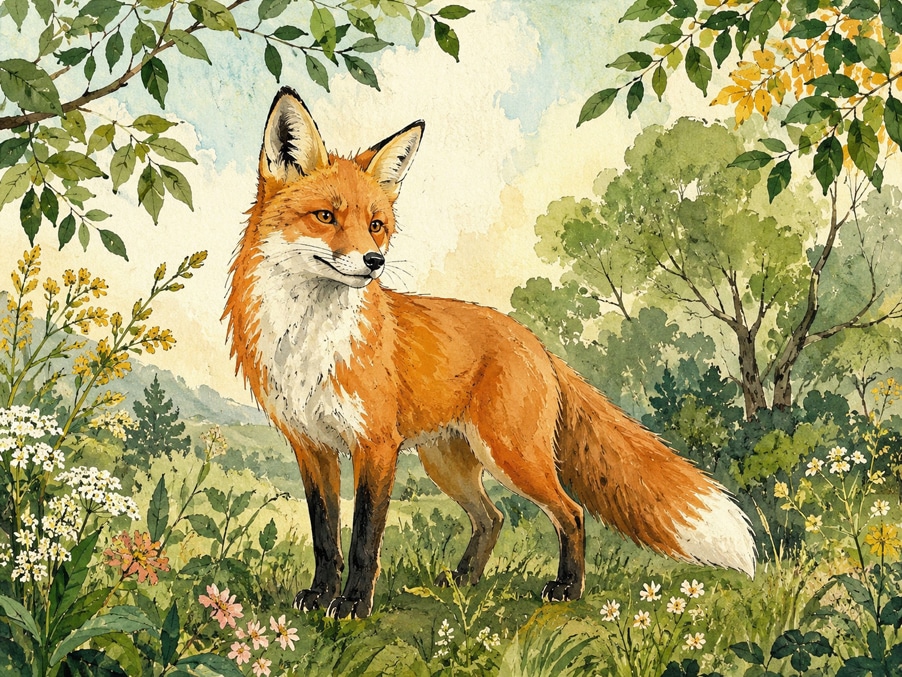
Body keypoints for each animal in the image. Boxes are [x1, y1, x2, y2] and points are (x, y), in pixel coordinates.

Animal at [224, 86, 756, 620]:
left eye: (376, 225)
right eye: (325, 216)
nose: (374, 263)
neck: (308, 341)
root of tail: (535, 343)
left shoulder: (374, 445)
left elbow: (363, 542)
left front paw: (354, 605)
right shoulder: (311, 446)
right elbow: (325, 537)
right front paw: (319, 597)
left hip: (511, 456)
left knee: (571, 512)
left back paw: (567, 588)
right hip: (450, 464)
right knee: (493, 517)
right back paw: (462, 581)